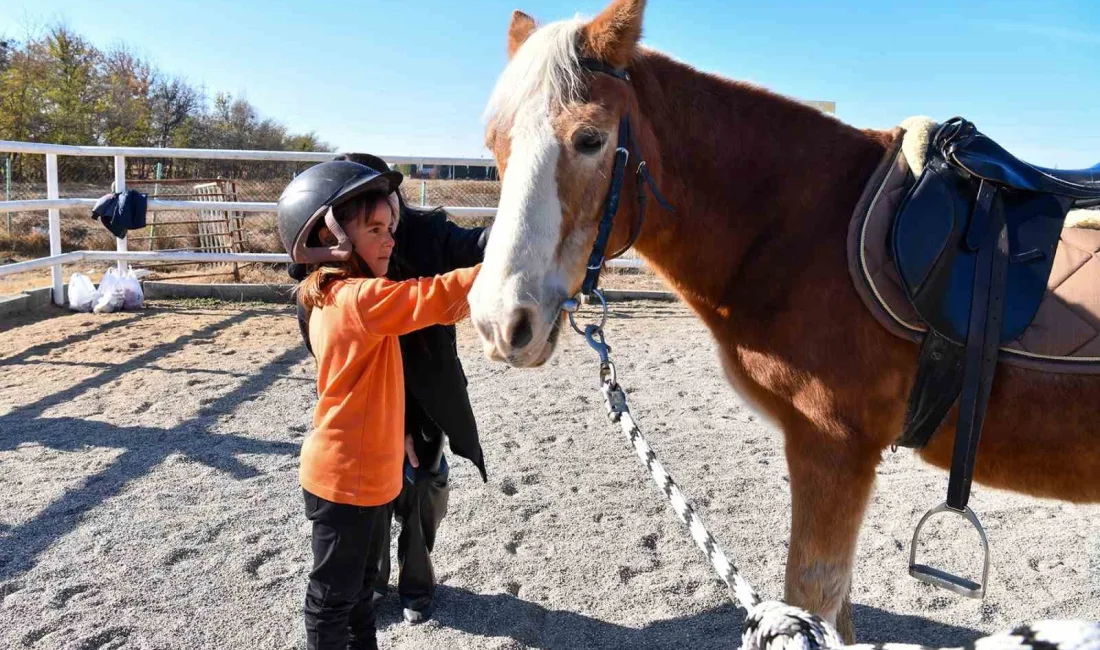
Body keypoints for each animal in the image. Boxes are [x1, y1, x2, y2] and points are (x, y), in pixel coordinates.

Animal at [464, 0, 1100, 642]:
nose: (499, 321)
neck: (805, 229)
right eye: (494, 143)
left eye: (590, 139)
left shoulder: (832, 448)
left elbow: (811, 593)